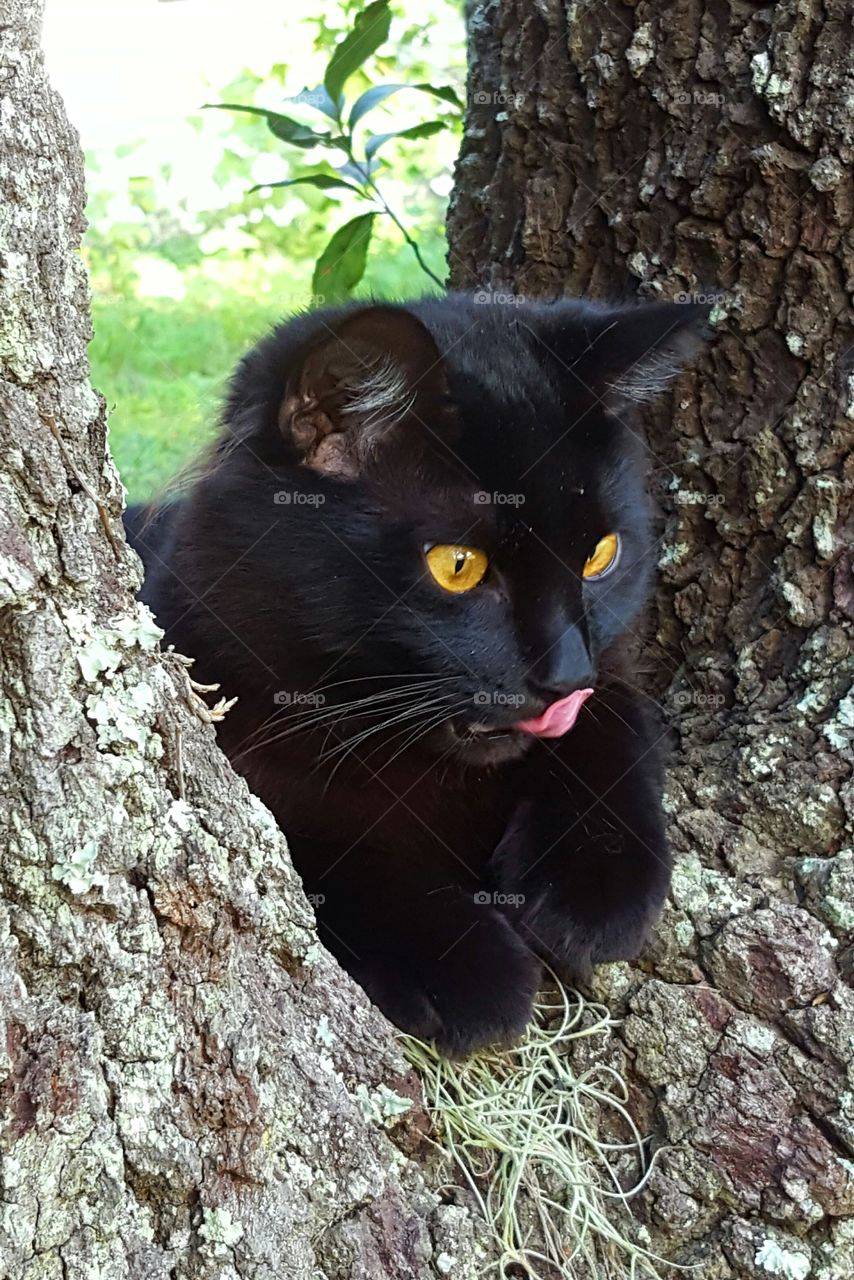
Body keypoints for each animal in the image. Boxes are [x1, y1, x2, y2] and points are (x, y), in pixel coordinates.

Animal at [125, 294, 706, 1054]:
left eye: (601, 556)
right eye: (457, 566)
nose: (563, 674)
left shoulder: (607, 680)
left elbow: (619, 724)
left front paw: (596, 890)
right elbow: (319, 851)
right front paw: (465, 967)